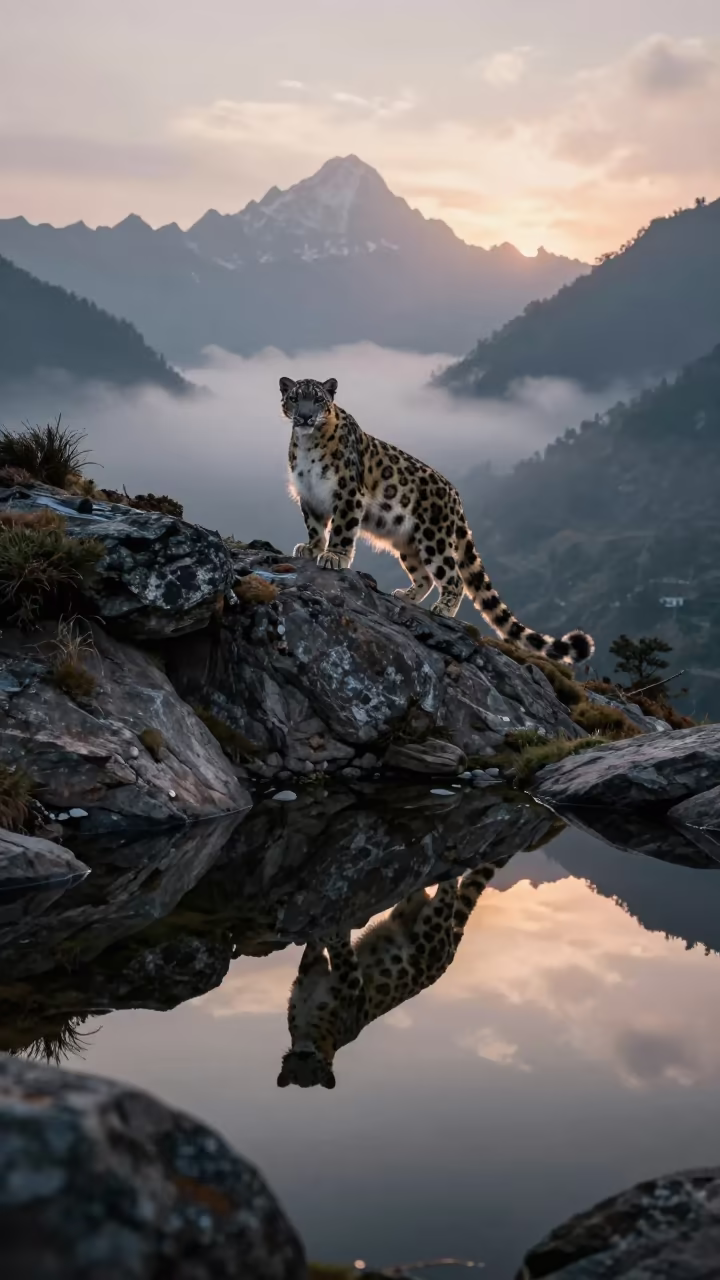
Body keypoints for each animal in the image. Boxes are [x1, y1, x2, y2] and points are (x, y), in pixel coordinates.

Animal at [277, 863, 498, 1089]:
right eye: (297, 1074)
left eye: (314, 1071)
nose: (305, 1054)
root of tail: (452, 947)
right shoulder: (312, 975)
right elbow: (323, 954)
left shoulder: (341, 979)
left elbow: (332, 951)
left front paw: (332, 931)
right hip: (417, 918)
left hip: (428, 930)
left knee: (445, 893)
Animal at [279, 376, 594, 665]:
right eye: (295, 398)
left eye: (318, 399)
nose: (305, 416)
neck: (308, 444)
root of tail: (456, 497)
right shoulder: (309, 496)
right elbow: (316, 528)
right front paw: (311, 549)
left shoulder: (347, 494)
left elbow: (342, 530)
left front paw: (334, 557)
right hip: (408, 542)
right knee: (426, 576)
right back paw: (406, 595)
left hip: (434, 538)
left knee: (452, 576)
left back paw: (443, 608)